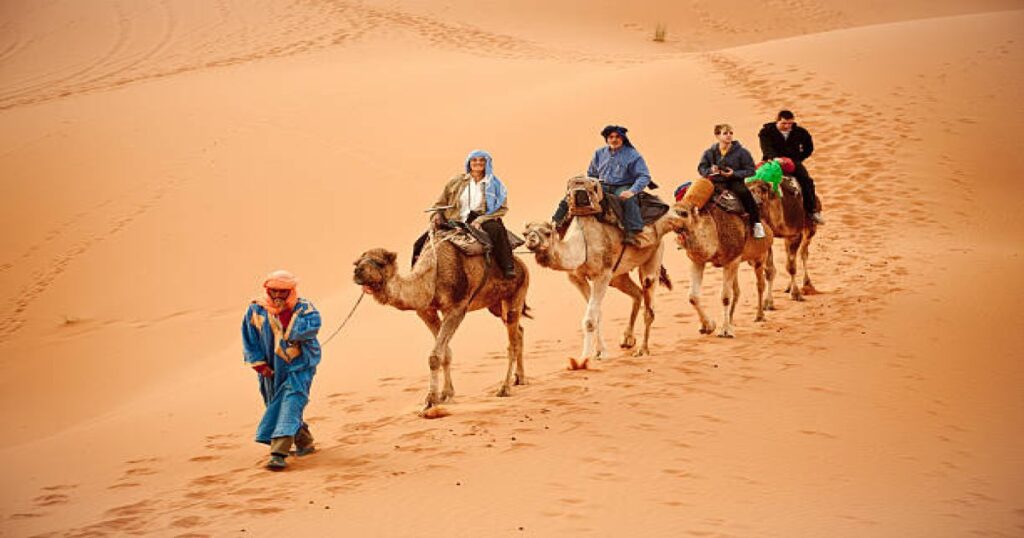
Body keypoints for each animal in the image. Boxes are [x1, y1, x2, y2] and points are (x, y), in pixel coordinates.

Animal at [352, 235, 528, 411]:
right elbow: (446, 353)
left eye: (380, 263)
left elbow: (435, 356)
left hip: (517, 290)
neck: (431, 277)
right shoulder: (426, 311)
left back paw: (504, 388)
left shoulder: (457, 308)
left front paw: (430, 400)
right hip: (495, 305)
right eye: (357, 262)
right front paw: (446, 394)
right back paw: (520, 378)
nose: (357, 272)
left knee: (512, 340)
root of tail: (522, 264)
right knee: (519, 330)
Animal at [675, 196, 770, 338]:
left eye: (684, 213)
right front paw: (708, 327)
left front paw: (725, 331)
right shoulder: (698, 260)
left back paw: (760, 315)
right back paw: (731, 319)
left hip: (760, 255)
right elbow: (693, 297)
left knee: (760, 284)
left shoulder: (733, 259)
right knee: (737, 290)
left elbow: (725, 297)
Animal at [745, 175, 815, 303]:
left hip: (810, 228)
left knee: (804, 252)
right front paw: (768, 302)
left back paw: (807, 284)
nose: (757, 202)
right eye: (747, 190)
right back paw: (788, 287)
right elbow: (769, 270)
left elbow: (791, 267)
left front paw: (796, 294)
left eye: (764, 189)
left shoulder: (794, 235)